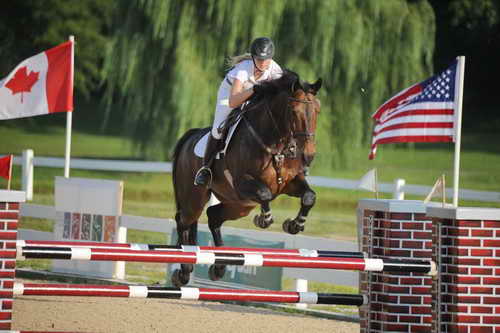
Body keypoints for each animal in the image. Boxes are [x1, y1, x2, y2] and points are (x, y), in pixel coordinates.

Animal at [170, 70, 322, 286]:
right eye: (294, 112)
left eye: (317, 111)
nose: (308, 156)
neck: (275, 144)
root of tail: (190, 137)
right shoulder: (243, 183)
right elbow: (265, 194)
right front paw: (264, 220)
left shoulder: (289, 183)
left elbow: (309, 196)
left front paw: (294, 225)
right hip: (196, 200)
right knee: (183, 221)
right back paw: (184, 271)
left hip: (239, 205)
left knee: (213, 217)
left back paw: (219, 267)